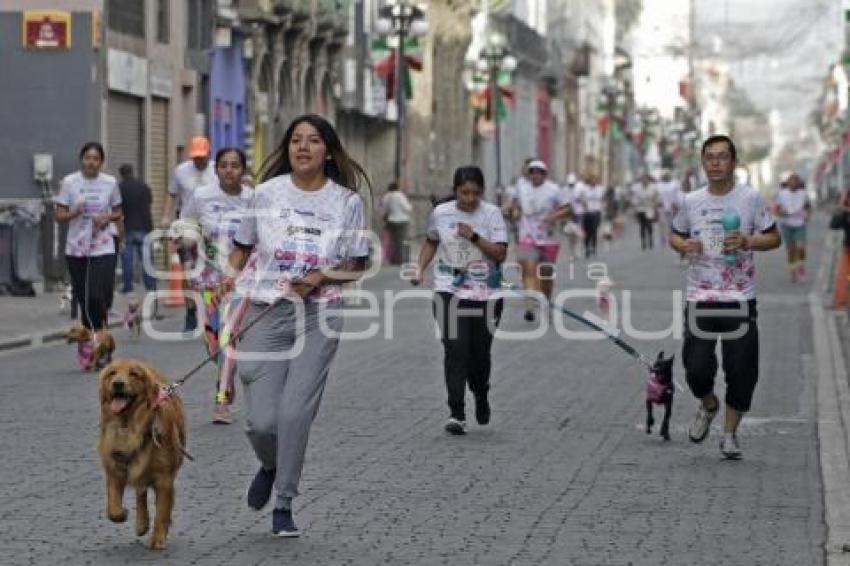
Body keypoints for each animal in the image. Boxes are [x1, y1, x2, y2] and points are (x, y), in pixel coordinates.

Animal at [97, 362, 187, 552]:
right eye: (112, 373)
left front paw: (157, 538)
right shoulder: (115, 468)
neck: (130, 426)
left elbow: (162, 512)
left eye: (134, 374)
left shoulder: (164, 479)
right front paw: (122, 514)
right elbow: (112, 507)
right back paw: (141, 522)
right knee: (141, 492)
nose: (118, 384)